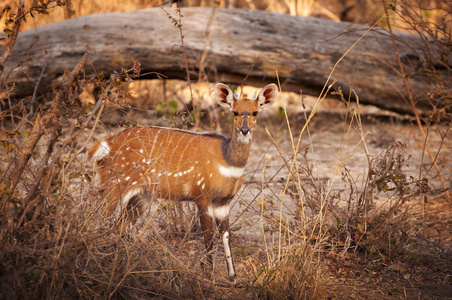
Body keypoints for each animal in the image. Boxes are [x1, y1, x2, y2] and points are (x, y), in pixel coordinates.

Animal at [86, 82, 278, 276]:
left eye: (255, 112)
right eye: (235, 112)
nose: (245, 130)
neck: (227, 162)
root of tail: (102, 147)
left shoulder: (223, 202)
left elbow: (226, 235)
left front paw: (232, 276)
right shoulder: (202, 196)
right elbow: (208, 236)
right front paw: (208, 273)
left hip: (141, 196)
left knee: (120, 224)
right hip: (114, 187)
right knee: (97, 220)